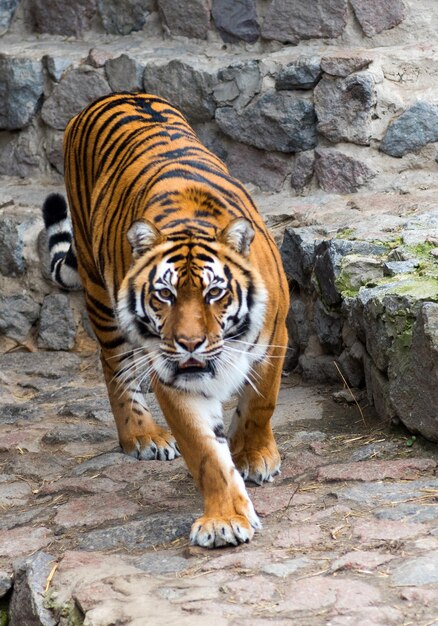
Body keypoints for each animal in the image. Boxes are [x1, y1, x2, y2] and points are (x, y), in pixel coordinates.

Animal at [40, 92, 288, 544]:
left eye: (214, 293)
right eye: (164, 295)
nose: (190, 343)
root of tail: (113, 94)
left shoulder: (274, 339)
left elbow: (261, 403)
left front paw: (254, 456)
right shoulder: (173, 374)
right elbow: (205, 452)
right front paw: (225, 519)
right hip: (100, 295)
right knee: (115, 369)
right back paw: (142, 436)